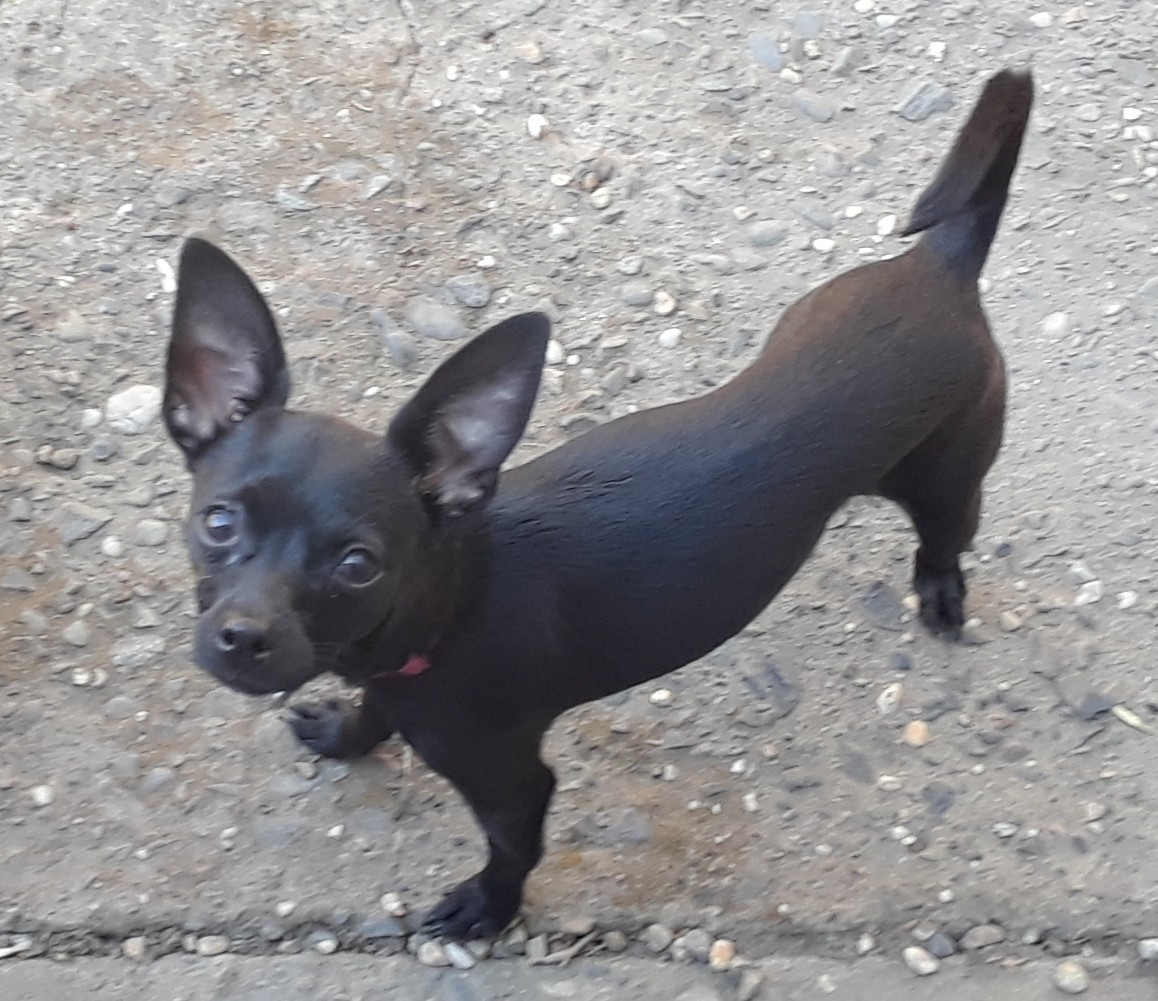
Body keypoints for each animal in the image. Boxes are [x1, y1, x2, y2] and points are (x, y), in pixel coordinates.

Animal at [160, 70, 1032, 936]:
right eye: (218, 522)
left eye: (358, 564)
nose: (243, 636)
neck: (451, 603)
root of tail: (942, 262)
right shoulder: (388, 680)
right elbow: (374, 712)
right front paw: (346, 733)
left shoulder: (511, 782)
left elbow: (513, 851)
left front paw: (490, 908)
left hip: (948, 476)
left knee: (945, 536)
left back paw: (940, 591)